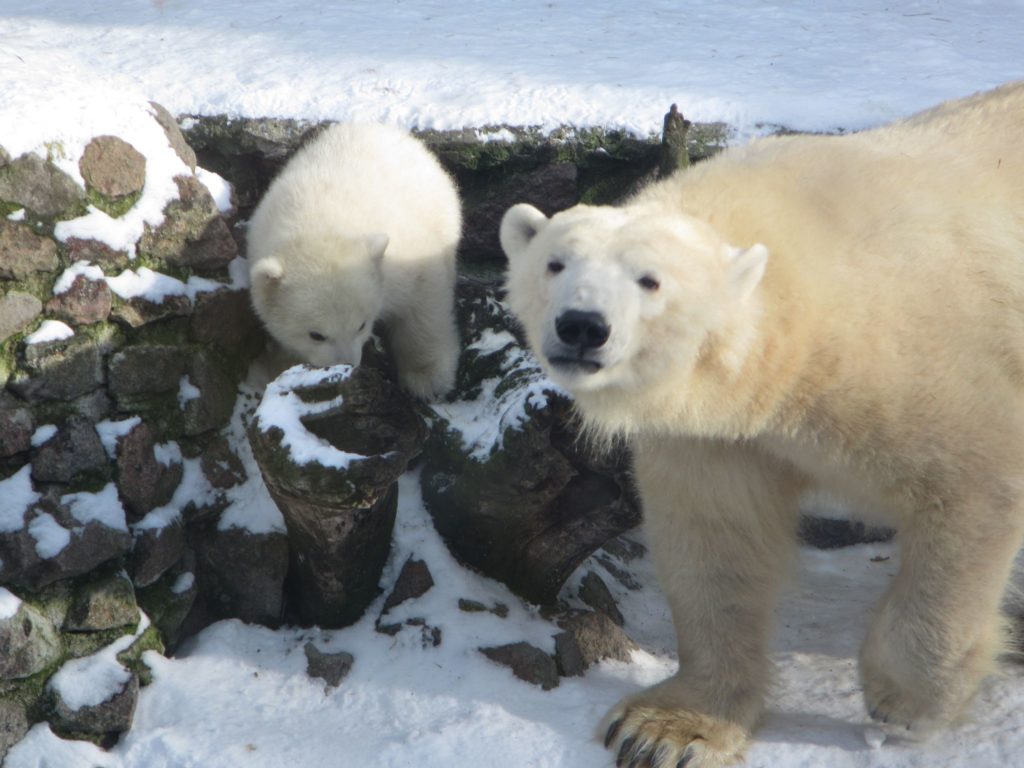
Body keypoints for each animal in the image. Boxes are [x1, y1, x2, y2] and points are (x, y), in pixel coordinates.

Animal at [499, 81, 1024, 765]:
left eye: (650, 280)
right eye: (555, 264)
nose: (583, 326)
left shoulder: (920, 359)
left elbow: (972, 486)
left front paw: (904, 705)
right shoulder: (721, 436)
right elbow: (717, 539)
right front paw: (664, 729)